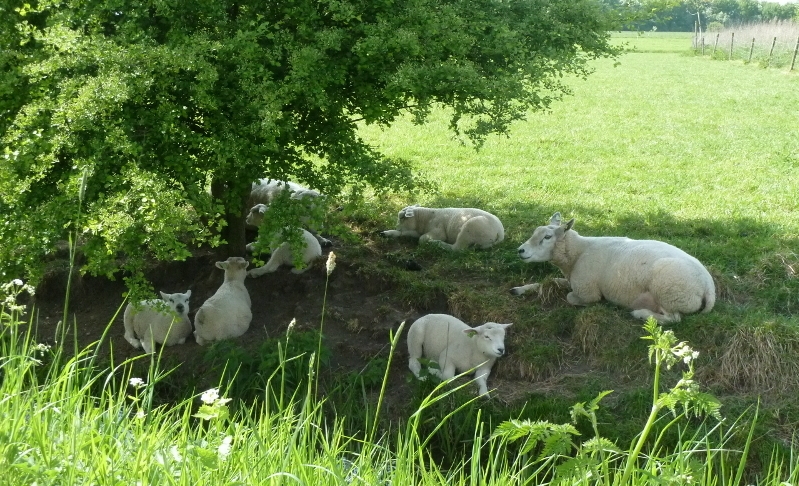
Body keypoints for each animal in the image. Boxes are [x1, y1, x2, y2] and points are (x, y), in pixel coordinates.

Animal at [512, 212, 720, 322]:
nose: (520, 250)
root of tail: (709, 286)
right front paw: (519, 289)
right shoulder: (573, 280)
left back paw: (640, 313)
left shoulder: (587, 290)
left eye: (547, 237)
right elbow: (549, 282)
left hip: (669, 292)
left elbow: (571, 297)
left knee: (673, 319)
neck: (578, 253)